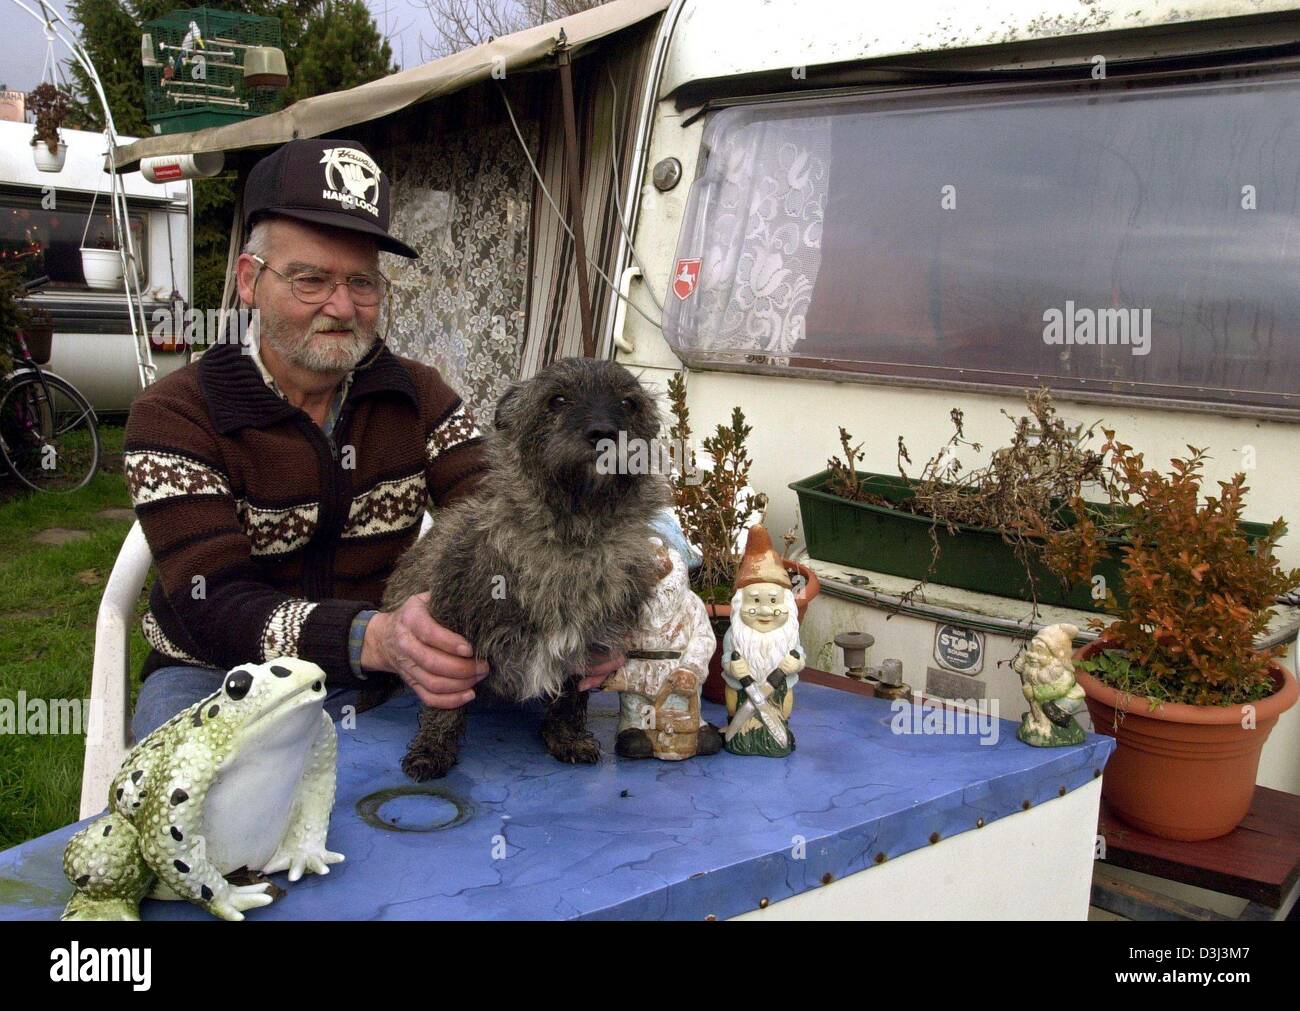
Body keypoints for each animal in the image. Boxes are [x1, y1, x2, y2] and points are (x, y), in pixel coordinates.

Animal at [382, 356, 670, 779]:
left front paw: (566, 738)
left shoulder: (587, 647)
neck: (572, 539)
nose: (604, 433)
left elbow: (570, 698)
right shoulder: (451, 634)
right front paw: (432, 750)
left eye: (628, 403)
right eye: (557, 399)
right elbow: (445, 705)